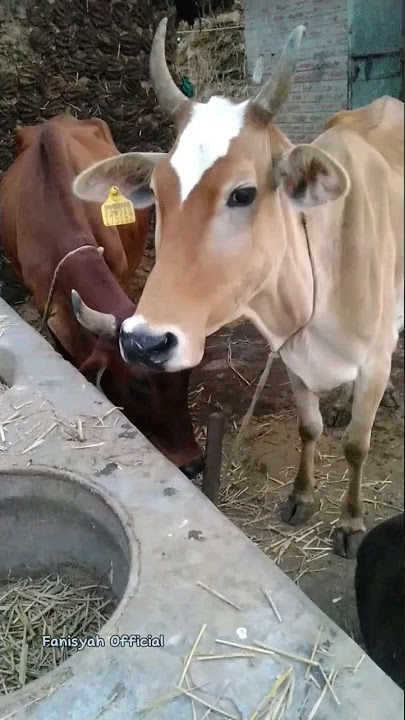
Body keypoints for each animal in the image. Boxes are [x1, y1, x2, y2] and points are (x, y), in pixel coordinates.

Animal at [70, 20, 404, 558]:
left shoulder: (372, 360)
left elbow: (357, 446)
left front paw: (351, 523)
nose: (144, 342)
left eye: (243, 193)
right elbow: (308, 427)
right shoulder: (290, 355)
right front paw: (301, 495)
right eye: (156, 194)